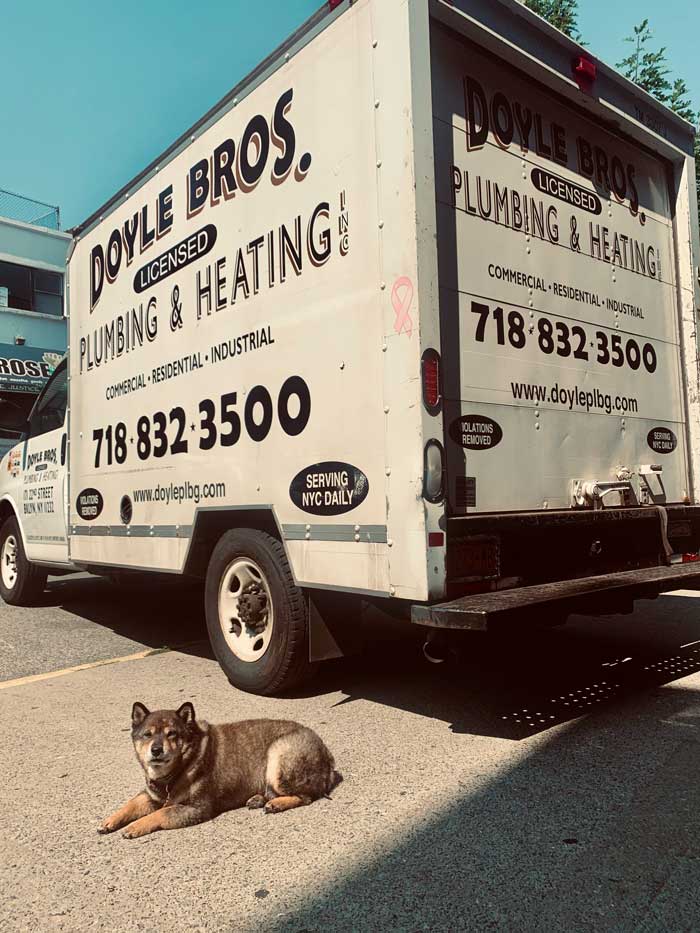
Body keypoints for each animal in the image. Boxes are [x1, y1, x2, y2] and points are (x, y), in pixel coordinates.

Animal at [98, 700, 340, 836]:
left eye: (172, 734)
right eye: (147, 734)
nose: (156, 750)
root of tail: (327, 755)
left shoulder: (196, 809)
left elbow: (161, 813)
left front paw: (134, 826)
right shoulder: (152, 795)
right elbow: (132, 803)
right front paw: (110, 821)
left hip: (278, 757)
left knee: (306, 796)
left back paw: (276, 804)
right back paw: (258, 799)